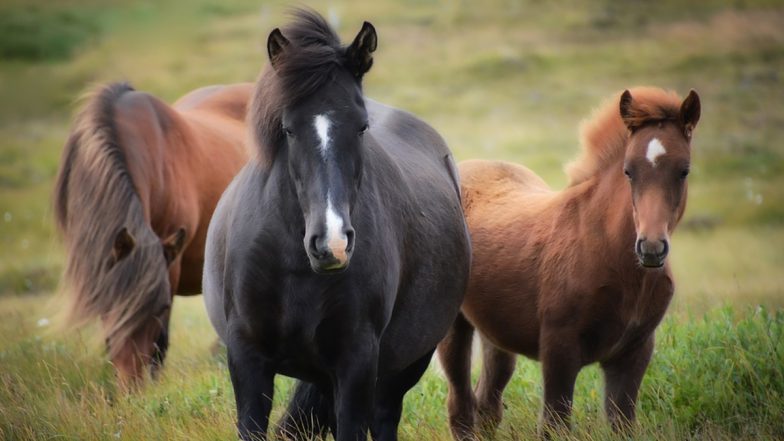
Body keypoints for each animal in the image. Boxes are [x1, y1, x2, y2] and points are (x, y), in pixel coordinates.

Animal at [204, 10, 472, 440]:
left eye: (361, 127)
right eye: (288, 128)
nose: (331, 244)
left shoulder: (356, 362)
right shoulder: (247, 357)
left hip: (403, 367)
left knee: (384, 417)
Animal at [438, 87, 700, 438]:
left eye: (684, 170)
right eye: (628, 170)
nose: (651, 248)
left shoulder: (634, 352)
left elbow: (621, 423)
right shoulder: (559, 349)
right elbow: (554, 423)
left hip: (496, 333)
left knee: (487, 404)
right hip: (453, 326)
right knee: (461, 407)